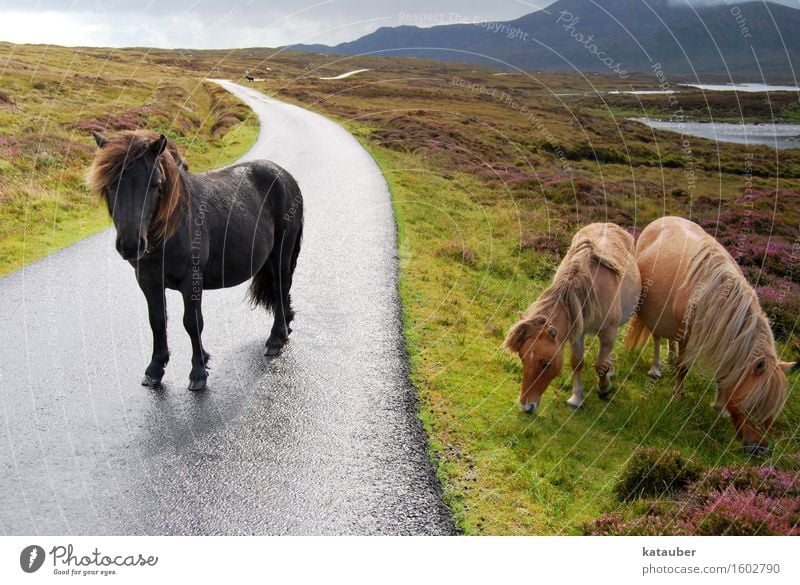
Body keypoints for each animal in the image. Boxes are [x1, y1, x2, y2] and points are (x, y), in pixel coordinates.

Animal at [88, 130, 304, 390]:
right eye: (111, 184)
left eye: (155, 184)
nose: (130, 244)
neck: (171, 229)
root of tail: (285, 176)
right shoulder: (148, 282)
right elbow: (157, 321)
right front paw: (155, 368)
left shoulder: (191, 281)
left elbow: (192, 322)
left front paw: (198, 371)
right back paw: (286, 326)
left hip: (281, 252)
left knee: (281, 287)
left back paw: (276, 338)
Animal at [504, 222, 640, 410]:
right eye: (522, 358)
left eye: (546, 363)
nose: (526, 406)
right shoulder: (577, 332)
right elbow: (577, 362)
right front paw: (576, 397)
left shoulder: (609, 331)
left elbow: (600, 365)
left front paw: (604, 388)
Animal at [628, 217, 796, 454]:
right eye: (754, 404)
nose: (760, 449)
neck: (718, 296)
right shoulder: (688, 334)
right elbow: (683, 367)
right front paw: (677, 396)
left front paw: (719, 407)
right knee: (657, 337)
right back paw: (656, 368)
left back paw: (669, 357)